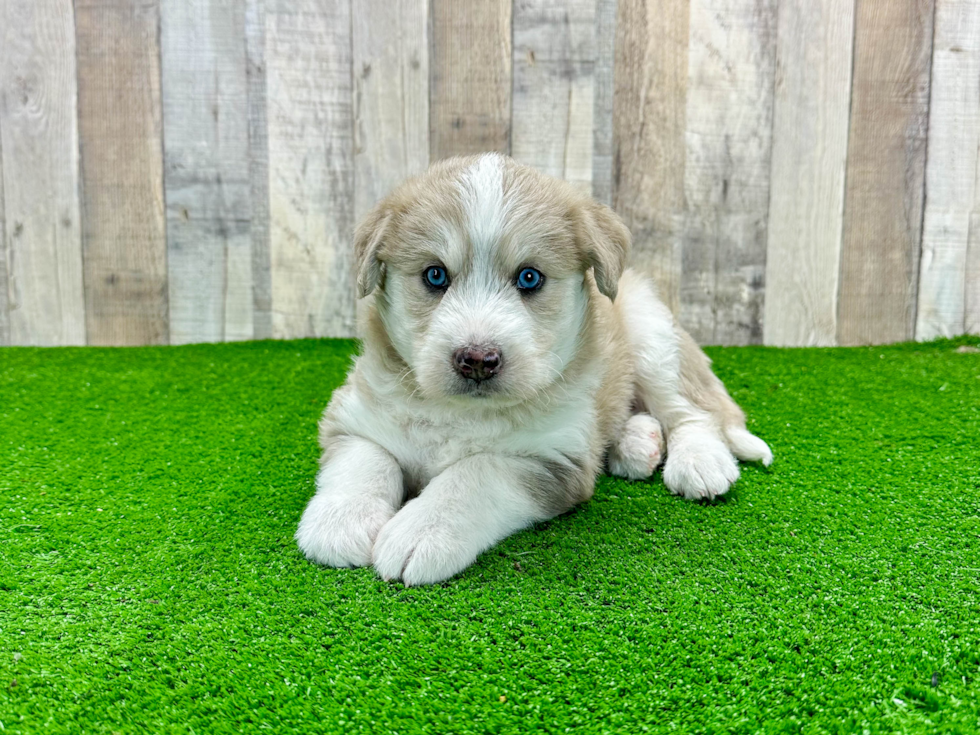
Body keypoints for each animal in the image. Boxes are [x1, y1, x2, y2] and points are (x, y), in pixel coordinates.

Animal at [294, 154, 768, 588]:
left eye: (528, 278)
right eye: (435, 275)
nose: (478, 359)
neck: (462, 414)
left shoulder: (553, 459)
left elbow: (476, 473)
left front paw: (421, 530)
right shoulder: (355, 415)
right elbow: (366, 459)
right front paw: (341, 520)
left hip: (653, 339)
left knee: (694, 410)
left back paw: (700, 461)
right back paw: (636, 443)